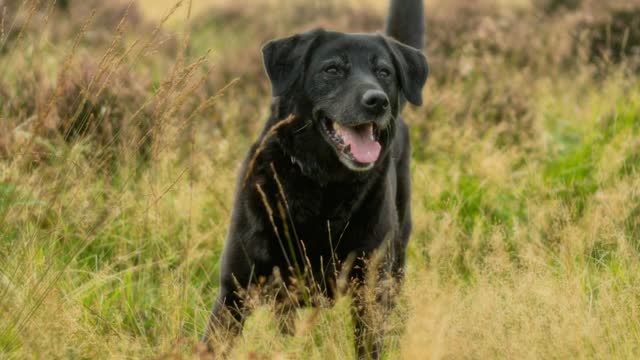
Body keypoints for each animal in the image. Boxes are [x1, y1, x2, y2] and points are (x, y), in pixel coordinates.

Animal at [204, 0, 424, 358]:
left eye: (384, 72)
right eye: (332, 70)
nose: (377, 100)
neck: (323, 188)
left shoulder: (369, 292)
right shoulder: (234, 291)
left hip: (395, 265)